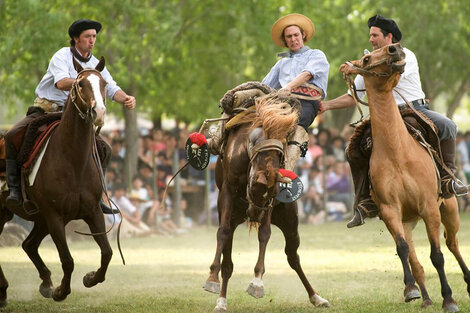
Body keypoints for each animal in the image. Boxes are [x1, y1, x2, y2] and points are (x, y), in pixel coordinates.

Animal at [0, 56, 112, 304]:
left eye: (104, 84)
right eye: (80, 84)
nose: (98, 112)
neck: (73, 160)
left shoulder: (93, 212)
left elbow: (107, 252)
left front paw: (90, 278)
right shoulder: (54, 216)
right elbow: (68, 260)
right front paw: (61, 291)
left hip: (37, 218)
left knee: (29, 245)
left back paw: (44, 282)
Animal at [203, 93, 330, 312]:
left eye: (269, 195)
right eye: (254, 188)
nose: (255, 213)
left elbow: (264, 234)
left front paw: (257, 282)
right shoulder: (227, 192)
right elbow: (223, 232)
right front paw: (212, 278)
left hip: (290, 221)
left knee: (293, 257)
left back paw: (316, 296)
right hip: (234, 215)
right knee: (228, 262)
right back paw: (221, 300)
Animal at [342, 43, 470, 310]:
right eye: (366, 59)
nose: (395, 49)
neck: (398, 153)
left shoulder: (429, 207)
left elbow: (437, 255)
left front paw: (449, 299)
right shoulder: (390, 211)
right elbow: (402, 250)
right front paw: (411, 290)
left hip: (449, 209)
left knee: (451, 243)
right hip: (407, 221)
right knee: (413, 257)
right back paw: (425, 297)